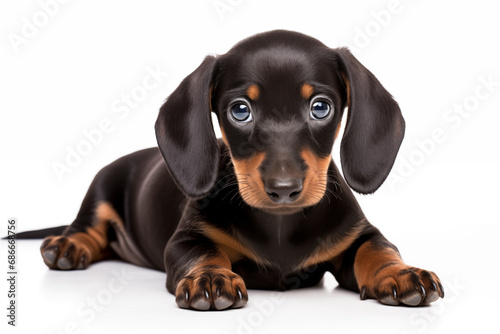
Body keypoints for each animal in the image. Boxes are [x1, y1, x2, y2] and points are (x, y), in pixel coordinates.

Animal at [40, 30, 446, 310]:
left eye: (320, 107)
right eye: (240, 110)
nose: (284, 188)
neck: (280, 224)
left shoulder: (355, 236)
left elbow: (377, 249)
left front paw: (399, 273)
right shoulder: (186, 239)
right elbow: (202, 253)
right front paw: (210, 277)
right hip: (100, 188)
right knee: (89, 226)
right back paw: (68, 245)